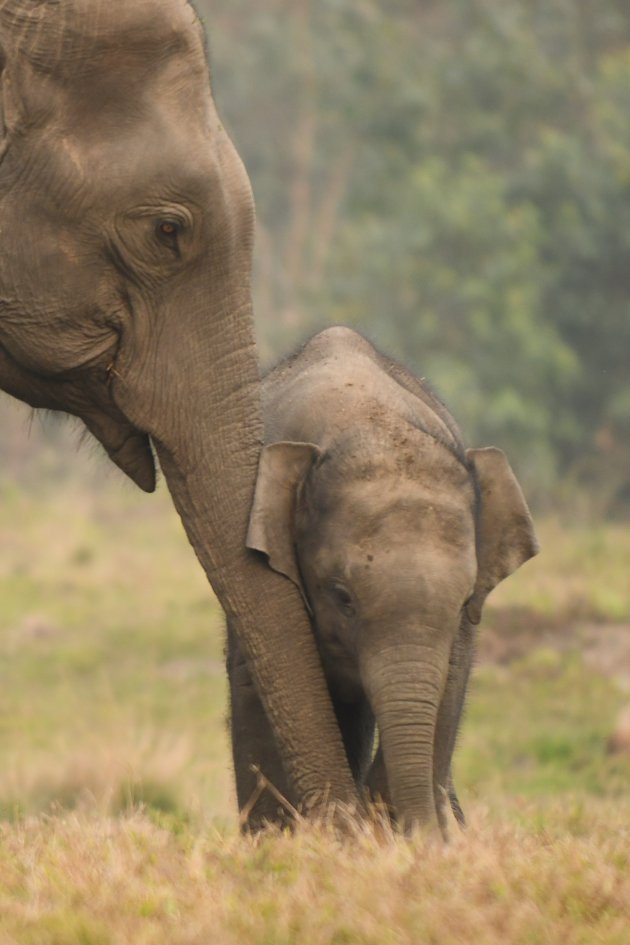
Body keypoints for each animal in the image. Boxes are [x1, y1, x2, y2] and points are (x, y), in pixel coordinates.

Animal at [227, 328, 540, 828]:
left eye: (464, 601)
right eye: (342, 597)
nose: (425, 834)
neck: (371, 426)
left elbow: (449, 690)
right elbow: (254, 687)